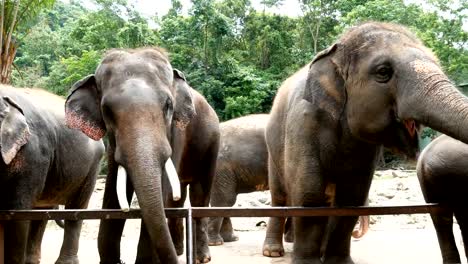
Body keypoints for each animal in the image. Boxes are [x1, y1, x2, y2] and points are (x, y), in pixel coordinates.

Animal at [65, 48, 220, 264]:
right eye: (107, 111)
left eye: (168, 105)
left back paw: (202, 257)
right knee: (177, 198)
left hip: (211, 142)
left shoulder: (176, 134)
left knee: (199, 195)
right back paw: (179, 250)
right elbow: (114, 192)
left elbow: (162, 192)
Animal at [208, 114, 370, 246]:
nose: (355, 234)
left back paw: (231, 239)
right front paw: (292, 239)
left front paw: (291, 239)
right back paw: (216, 242)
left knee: (225, 201)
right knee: (225, 200)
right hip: (221, 168)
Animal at [262, 21, 468, 264]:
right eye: (383, 72)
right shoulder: (304, 121)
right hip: (273, 148)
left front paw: (338, 262)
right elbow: (309, 194)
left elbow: (351, 198)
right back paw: (273, 251)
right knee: (280, 196)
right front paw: (308, 262)